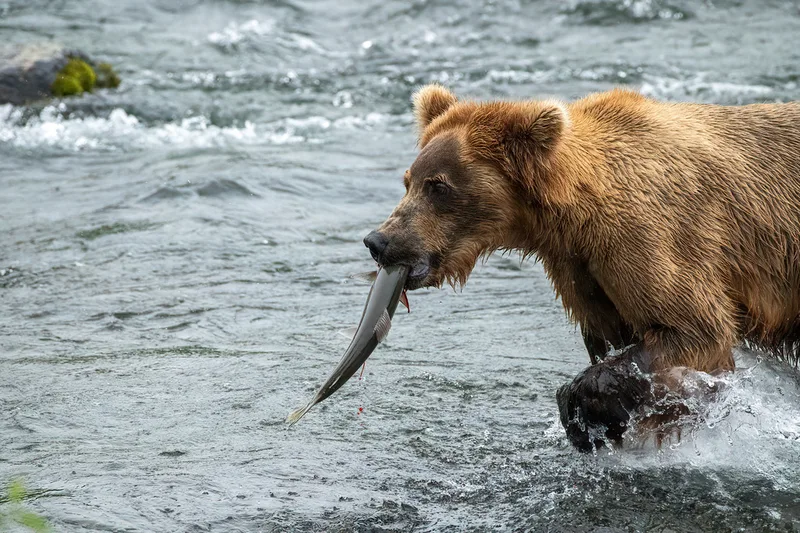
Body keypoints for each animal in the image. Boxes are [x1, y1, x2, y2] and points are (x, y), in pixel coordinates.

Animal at [362, 83, 800, 451]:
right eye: (408, 180)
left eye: (438, 185)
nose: (379, 241)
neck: (572, 214)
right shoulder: (580, 266)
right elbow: (617, 334)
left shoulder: (650, 237)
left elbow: (694, 329)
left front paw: (584, 412)